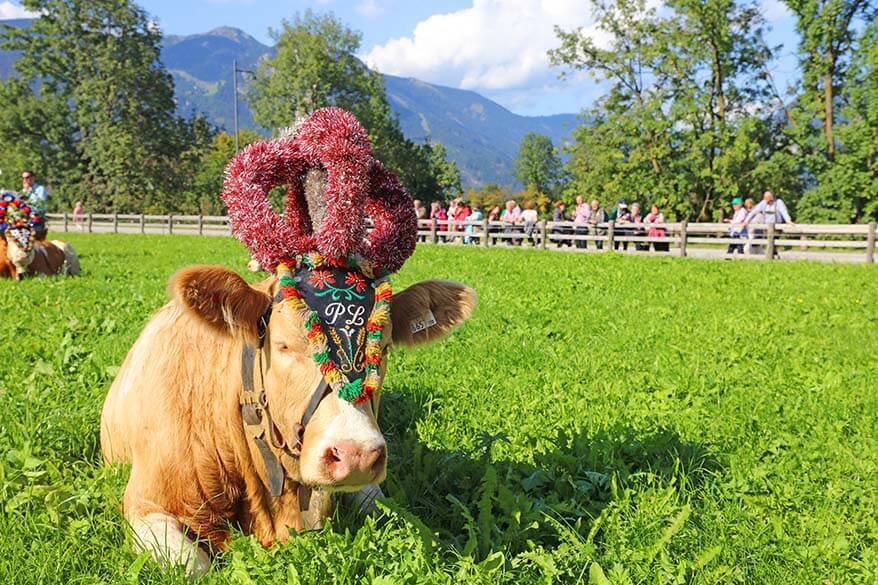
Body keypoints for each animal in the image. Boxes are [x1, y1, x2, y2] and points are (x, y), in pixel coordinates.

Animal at [100, 266, 478, 576]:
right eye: (283, 345)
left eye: (382, 349)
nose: (356, 455)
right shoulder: (145, 501)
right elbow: (194, 567)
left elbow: (390, 511)